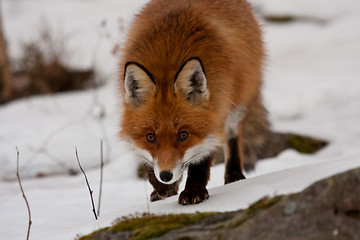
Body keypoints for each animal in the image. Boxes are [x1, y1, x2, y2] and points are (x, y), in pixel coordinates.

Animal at [119, 0, 268, 204]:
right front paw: (162, 188)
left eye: (183, 135)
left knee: (233, 137)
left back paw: (234, 175)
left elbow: (201, 161)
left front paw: (193, 191)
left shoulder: (217, 112)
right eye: (150, 137)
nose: (165, 175)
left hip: (237, 105)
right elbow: (150, 165)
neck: (168, 58)